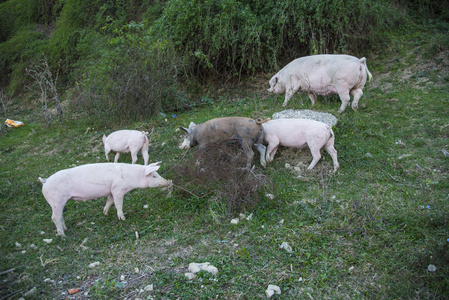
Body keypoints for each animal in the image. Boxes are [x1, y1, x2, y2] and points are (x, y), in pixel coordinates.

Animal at [38, 162, 172, 237]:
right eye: (154, 176)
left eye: (157, 174)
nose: (168, 181)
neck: (132, 178)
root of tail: (45, 182)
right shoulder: (118, 189)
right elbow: (118, 204)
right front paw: (123, 218)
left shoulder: (111, 190)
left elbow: (109, 201)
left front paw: (105, 213)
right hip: (57, 200)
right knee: (54, 217)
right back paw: (63, 235)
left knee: (60, 216)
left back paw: (66, 229)